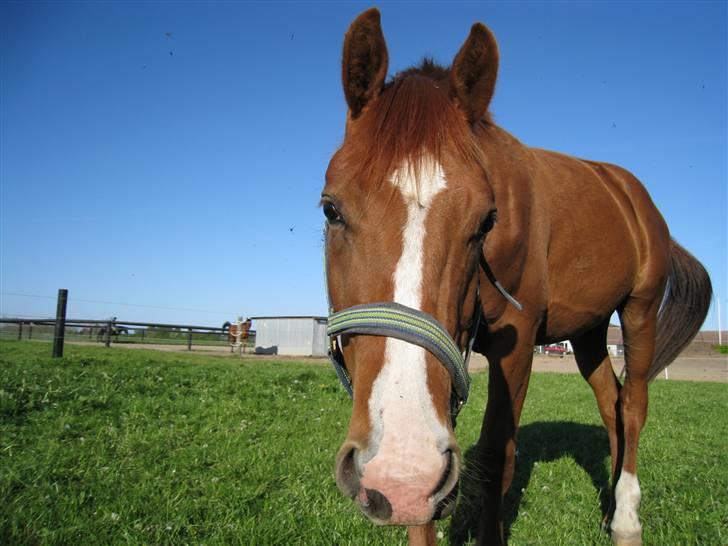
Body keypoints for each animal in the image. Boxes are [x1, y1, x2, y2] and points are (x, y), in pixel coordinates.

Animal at [324, 8, 712, 544]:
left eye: (487, 221)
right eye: (330, 209)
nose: (401, 471)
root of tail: (630, 192)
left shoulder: (519, 343)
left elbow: (495, 458)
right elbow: (425, 509)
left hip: (639, 310)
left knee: (633, 403)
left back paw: (627, 517)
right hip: (589, 332)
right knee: (609, 401)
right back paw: (610, 506)